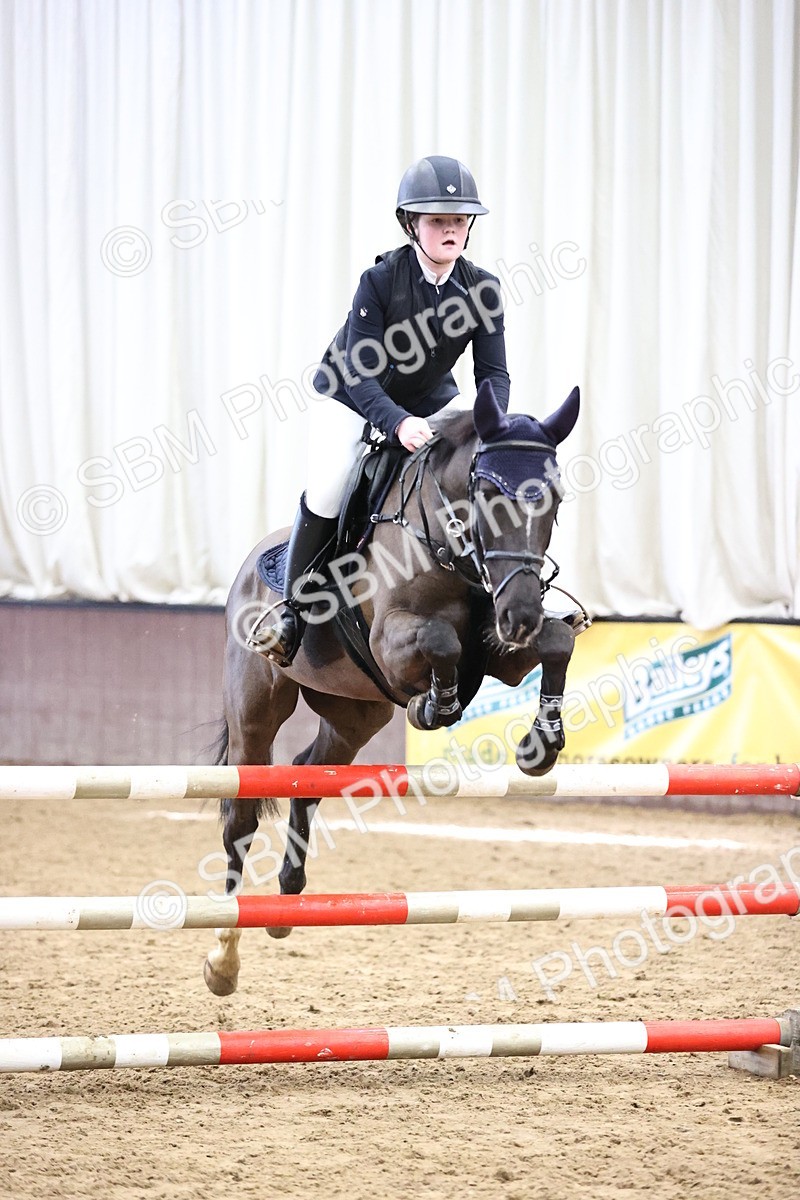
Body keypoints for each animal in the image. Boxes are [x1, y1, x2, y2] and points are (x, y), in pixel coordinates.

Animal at [203, 379, 583, 995]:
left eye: (556, 498)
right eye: (486, 492)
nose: (522, 612)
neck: (451, 550)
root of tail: (251, 562)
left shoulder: (501, 647)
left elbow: (557, 641)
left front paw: (541, 744)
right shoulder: (392, 641)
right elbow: (441, 642)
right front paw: (436, 706)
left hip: (355, 713)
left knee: (309, 775)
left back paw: (287, 901)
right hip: (257, 710)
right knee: (241, 816)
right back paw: (223, 955)